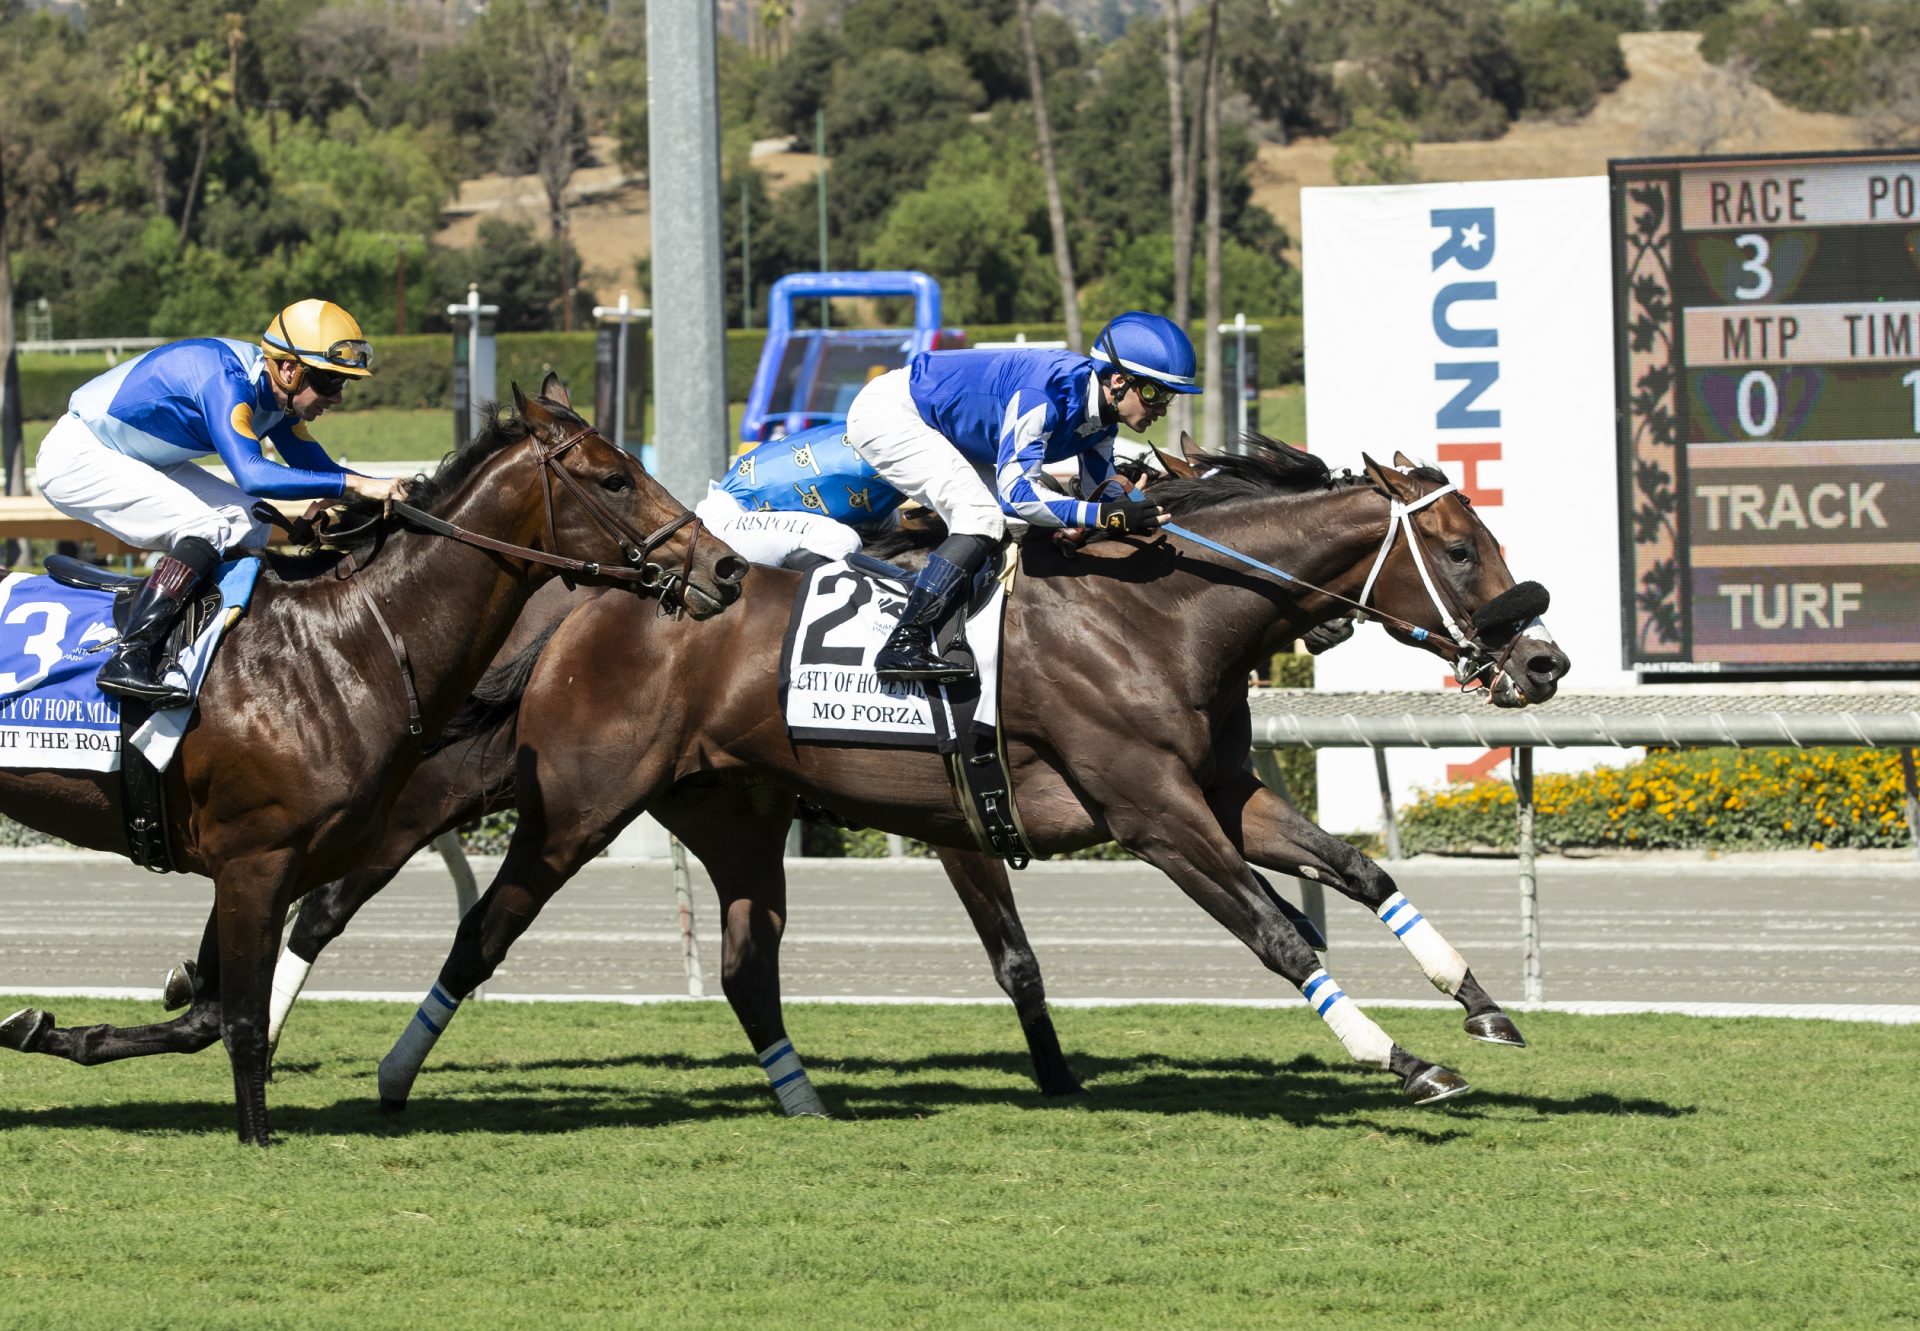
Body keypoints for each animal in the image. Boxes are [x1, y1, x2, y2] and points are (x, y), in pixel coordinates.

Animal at [0, 376, 744, 1144]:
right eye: (614, 479)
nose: (726, 567)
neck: (346, 641)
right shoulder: (254, 861)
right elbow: (240, 1021)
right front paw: (256, 1137)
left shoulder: (273, 863)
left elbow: (206, 1014)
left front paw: (48, 1029)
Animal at [326, 441, 1559, 1113]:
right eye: (1460, 549)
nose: (1543, 660)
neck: (1162, 609)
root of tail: (596, 596)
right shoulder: (1150, 811)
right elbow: (1278, 932)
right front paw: (1401, 1059)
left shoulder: (1220, 792)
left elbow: (1355, 871)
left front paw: (1482, 1002)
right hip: (573, 798)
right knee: (458, 918)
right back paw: (383, 1069)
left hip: (724, 807)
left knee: (740, 962)